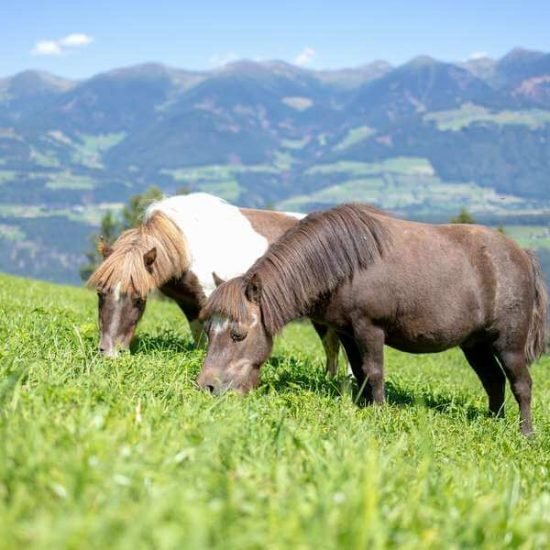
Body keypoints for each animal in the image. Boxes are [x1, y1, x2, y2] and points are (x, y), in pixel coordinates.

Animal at [198, 203, 548, 436]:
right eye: (209, 331)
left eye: (239, 335)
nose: (206, 386)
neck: (341, 263)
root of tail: (523, 255)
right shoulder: (348, 333)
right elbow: (360, 372)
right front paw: (363, 408)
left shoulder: (370, 329)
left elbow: (374, 371)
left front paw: (379, 414)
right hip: (474, 345)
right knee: (493, 381)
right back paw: (493, 422)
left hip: (508, 344)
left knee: (521, 384)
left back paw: (525, 433)